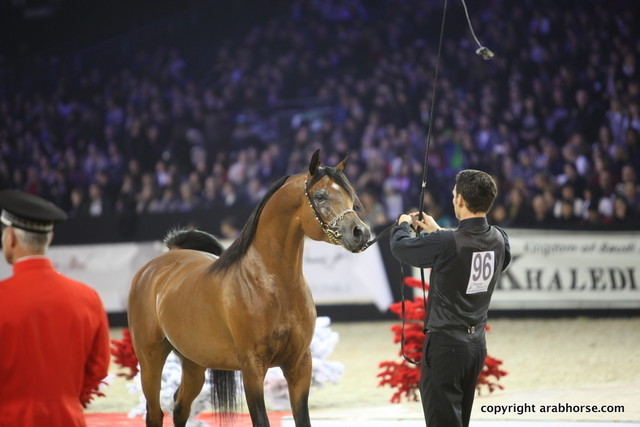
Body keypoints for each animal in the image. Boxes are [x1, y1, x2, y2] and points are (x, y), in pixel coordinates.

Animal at [127, 150, 371, 427]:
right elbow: (261, 419)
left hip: (194, 363)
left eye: (351, 197)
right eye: (320, 196)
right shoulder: (253, 368)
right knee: (155, 412)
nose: (360, 232)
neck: (272, 284)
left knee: (180, 407)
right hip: (150, 358)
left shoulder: (300, 365)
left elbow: (302, 418)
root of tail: (163, 260)